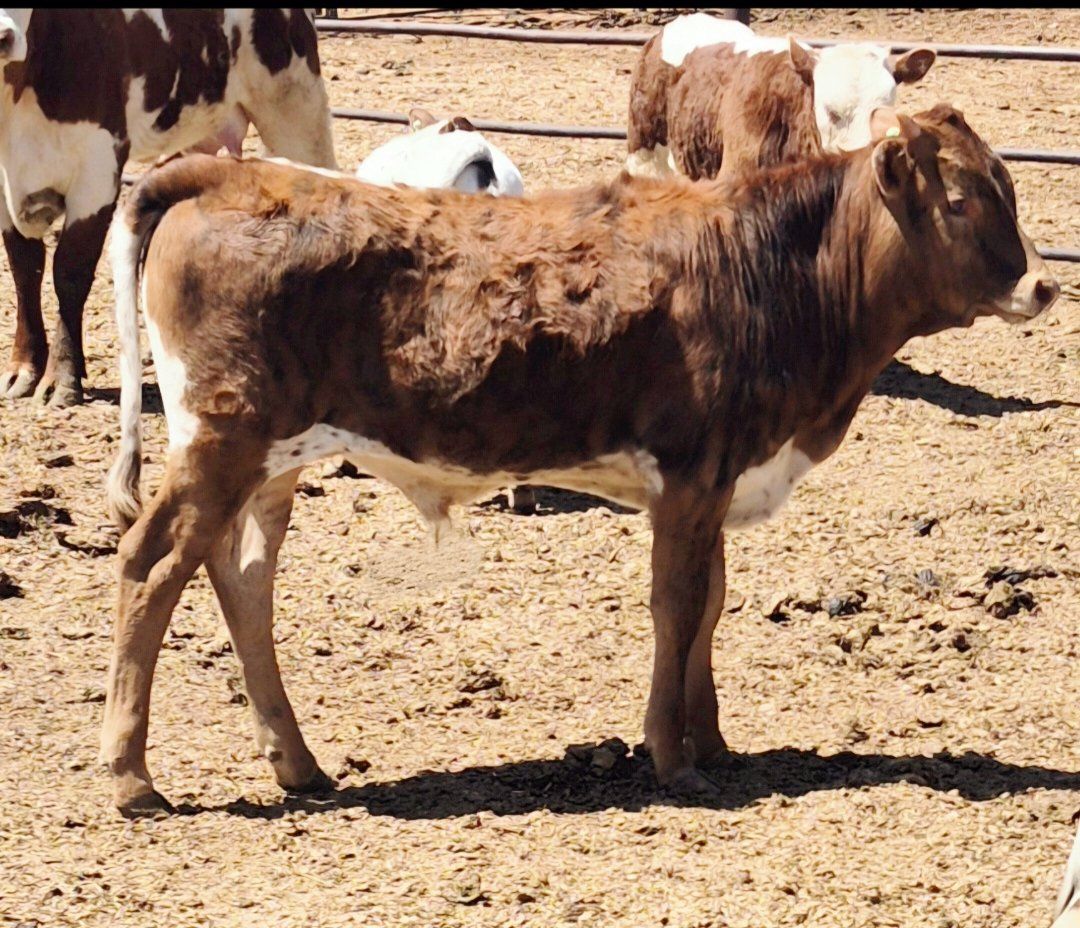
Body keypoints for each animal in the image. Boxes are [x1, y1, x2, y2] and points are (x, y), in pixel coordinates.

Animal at [0, 8, 337, 408]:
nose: (4, 38)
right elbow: (25, 270)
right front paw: (24, 368)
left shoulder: (97, 168)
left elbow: (69, 273)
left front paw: (61, 380)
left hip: (296, 111)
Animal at [99, 104, 1058, 816]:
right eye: (961, 200)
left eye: (1006, 186)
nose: (1042, 283)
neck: (773, 270)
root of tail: (232, 173)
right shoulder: (688, 476)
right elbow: (677, 609)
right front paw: (673, 757)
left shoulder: (713, 479)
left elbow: (710, 606)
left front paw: (713, 738)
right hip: (224, 442)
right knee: (151, 565)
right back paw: (132, 776)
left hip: (270, 460)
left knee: (242, 582)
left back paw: (296, 762)